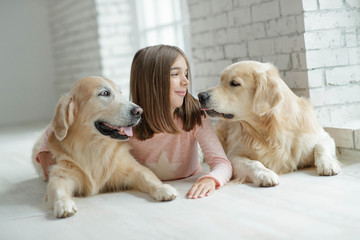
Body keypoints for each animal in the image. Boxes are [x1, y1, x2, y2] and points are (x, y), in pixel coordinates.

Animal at [32, 76, 177, 218]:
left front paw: (163, 188)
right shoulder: (62, 174)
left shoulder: (132, 167)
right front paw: (63, 204)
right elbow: (58, 189)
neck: (93, 145)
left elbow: (148, 176)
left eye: (120, 92)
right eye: (105, 93)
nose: (139, 111)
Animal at [198, 61, 342, 187]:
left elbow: (321, 147)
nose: (200, 96)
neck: (271, 130)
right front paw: (265, 174)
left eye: (234, 83)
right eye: (220, 81)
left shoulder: (322, 137)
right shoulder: (233, 155)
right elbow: (253, 163)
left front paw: (328, 164)